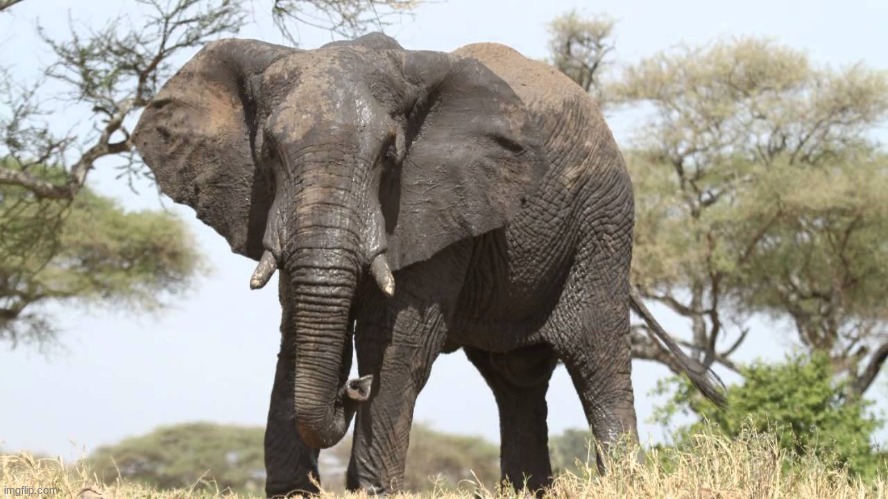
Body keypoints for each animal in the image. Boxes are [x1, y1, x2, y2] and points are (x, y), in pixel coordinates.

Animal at [132, 33, 724, 496]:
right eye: (269, 154)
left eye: (388, 157)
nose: (352, 387)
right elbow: (297, 330)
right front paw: (293, 493)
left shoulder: (435, 204)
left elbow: (395, 344)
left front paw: (371, 487)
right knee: (516, 380)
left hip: (604, 223)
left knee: (597, 358)